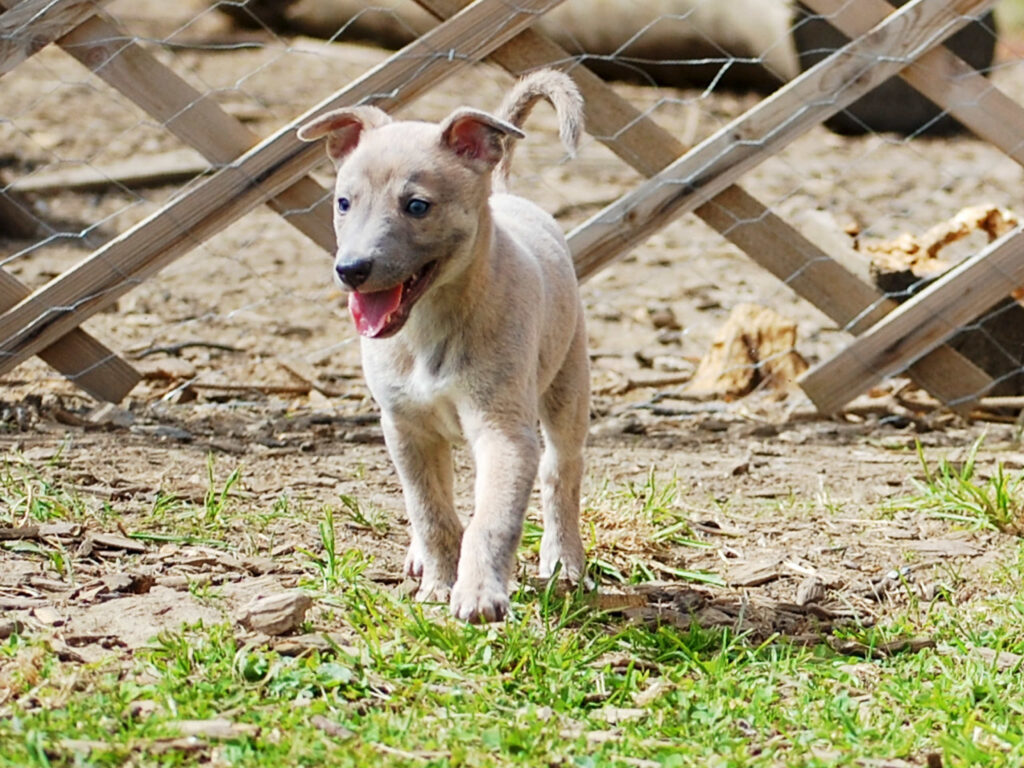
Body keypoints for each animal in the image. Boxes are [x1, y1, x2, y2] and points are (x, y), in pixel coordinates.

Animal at [297, 70, 588, 622]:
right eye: (344, 203)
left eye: (417, 206)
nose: (351, 270)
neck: (429, 329)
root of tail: (506, 191)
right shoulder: (404, 428)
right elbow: (429, 510)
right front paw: (437, 582)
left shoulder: (503, 431)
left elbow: (491, 518)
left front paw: (478, 593)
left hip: (567, 386)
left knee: (561, 473)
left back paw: (565, 560)